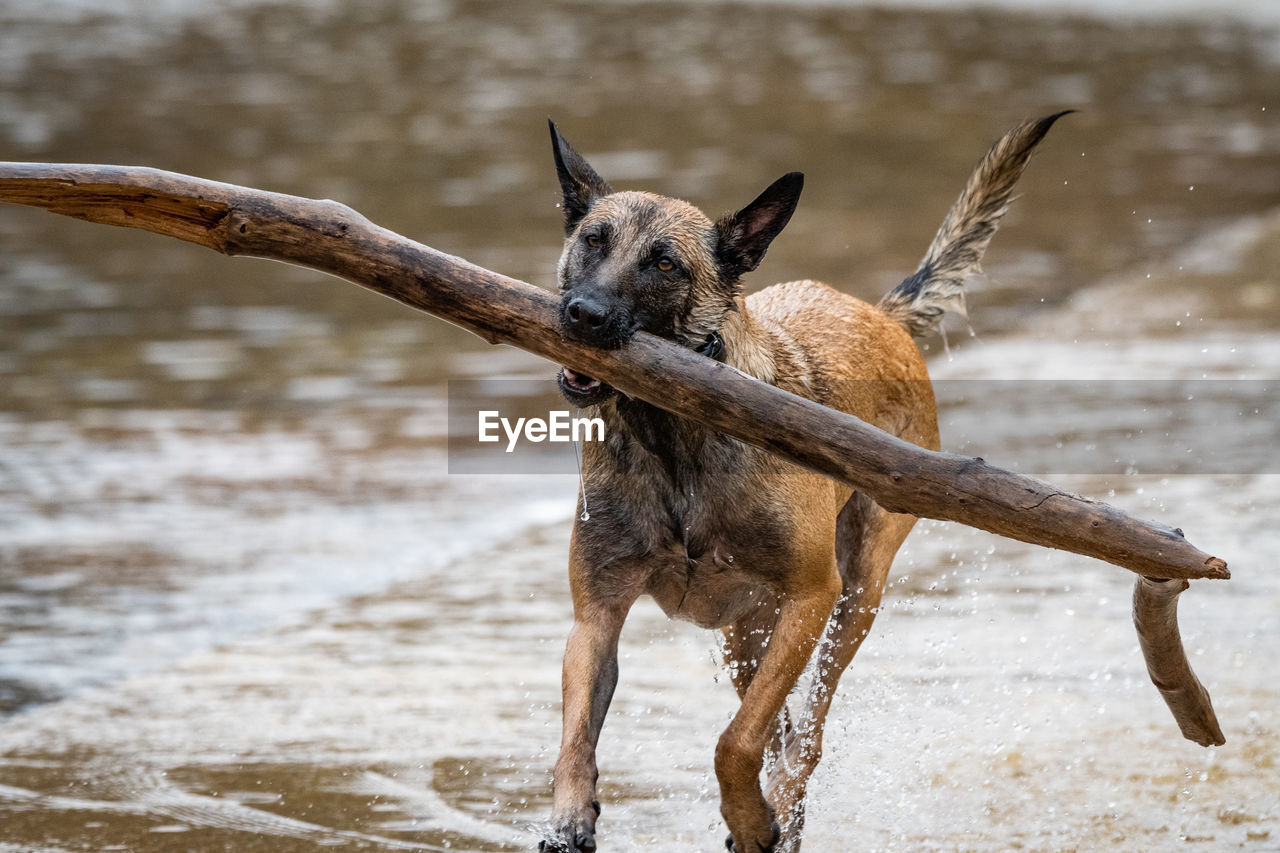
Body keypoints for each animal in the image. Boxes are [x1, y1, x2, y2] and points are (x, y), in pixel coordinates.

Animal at [540, 112, 1070, 850]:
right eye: (593, 241)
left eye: (665, 264)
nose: (582, 315)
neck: (674, 434)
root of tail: (881, 314)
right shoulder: (597, 615)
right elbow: (575, 736)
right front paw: (570, 816)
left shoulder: (812, 594)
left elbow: (735, 742)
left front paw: (749, 816)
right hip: (747, 634)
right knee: (782, 725)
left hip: (856, 592)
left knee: (804, 734)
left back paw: (777, 811)